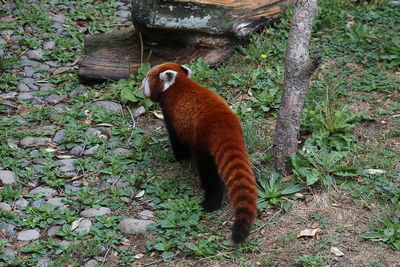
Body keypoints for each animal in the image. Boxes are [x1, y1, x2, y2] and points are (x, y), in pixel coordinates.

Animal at [141, 63, 258, 245]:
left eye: (147, 77)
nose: (140, 82)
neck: (178, 84)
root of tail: (224, 125)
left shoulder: (171, 114)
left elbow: (176, 141)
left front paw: (180, 157)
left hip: (203, 144)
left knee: (208, 173)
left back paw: (210, 202)